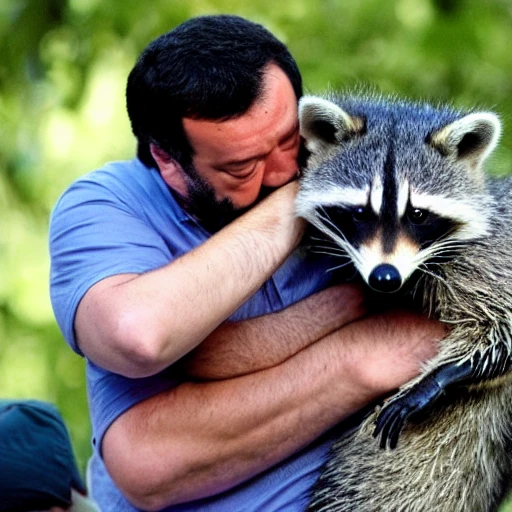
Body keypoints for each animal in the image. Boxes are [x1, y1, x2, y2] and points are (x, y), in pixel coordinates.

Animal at [294, 93, 512, 512]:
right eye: (359, 212)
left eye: (418, 214)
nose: (385, 276)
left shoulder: (491, 259)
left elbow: (502, 327)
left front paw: (439, 377)